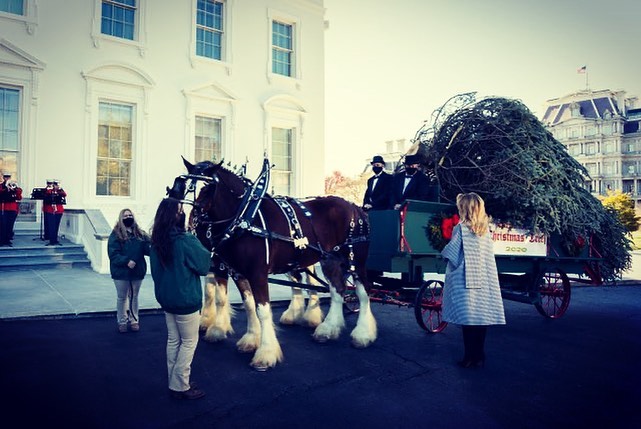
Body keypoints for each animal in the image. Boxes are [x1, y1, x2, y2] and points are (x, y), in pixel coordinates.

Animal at [175, 159, 376, 370]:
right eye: (181, 185)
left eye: (207, 187)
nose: (190, 222)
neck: (244, 216)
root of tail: (354, 206)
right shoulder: (237, 272)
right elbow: (247, 305)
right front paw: (250, 338)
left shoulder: (257, 273)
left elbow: (262, 310)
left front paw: (266, 353)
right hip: (330, 260)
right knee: (338, 289)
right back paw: (328, 329)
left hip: (356, 261)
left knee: (363, 291)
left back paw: (363, 334)